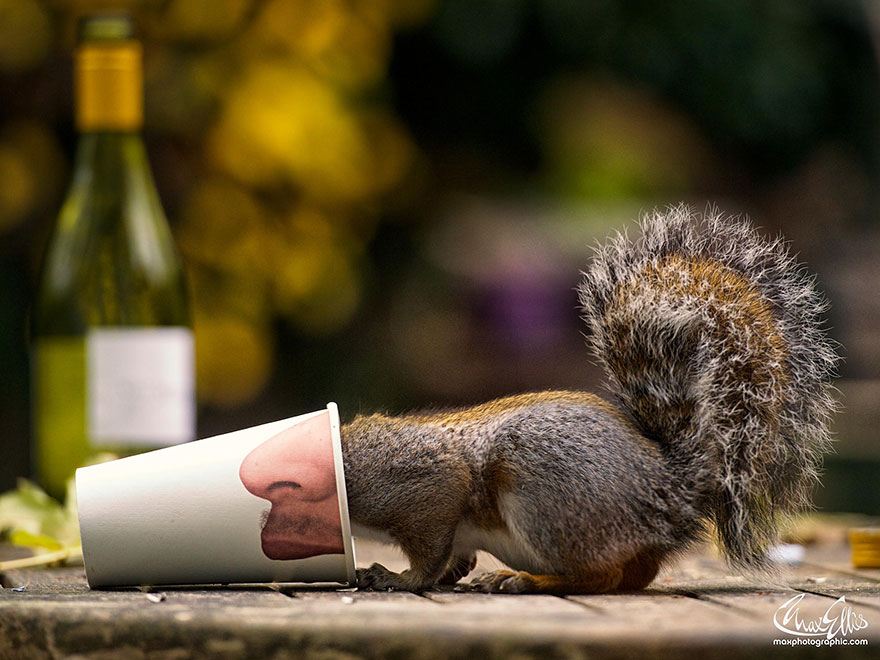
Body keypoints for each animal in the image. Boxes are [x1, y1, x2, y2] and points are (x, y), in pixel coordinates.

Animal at [340, 205, 839, 594]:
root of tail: (670, 492)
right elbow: (456, 558)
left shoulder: (421, 489)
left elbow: (429, 554)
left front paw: (396, 578)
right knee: (635, 575)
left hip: (544, 497)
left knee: (603, 577)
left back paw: (528, 581)